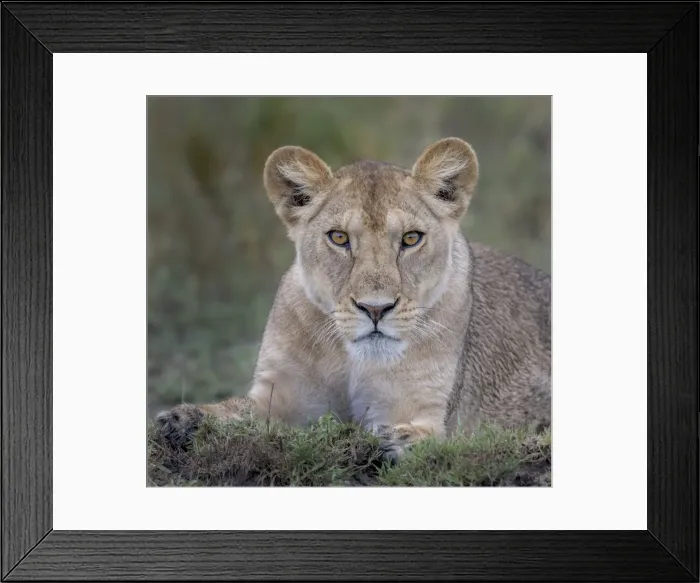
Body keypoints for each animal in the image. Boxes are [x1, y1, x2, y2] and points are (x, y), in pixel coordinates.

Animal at [155, 137, 551, 462]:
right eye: (339, 237)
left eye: (411, 238)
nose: (375, 309)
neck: (353, 361)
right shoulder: (277, 395)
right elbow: (236, 411)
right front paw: (183, 419)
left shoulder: (426, 408)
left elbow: (426, 436)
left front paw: (397, 441)